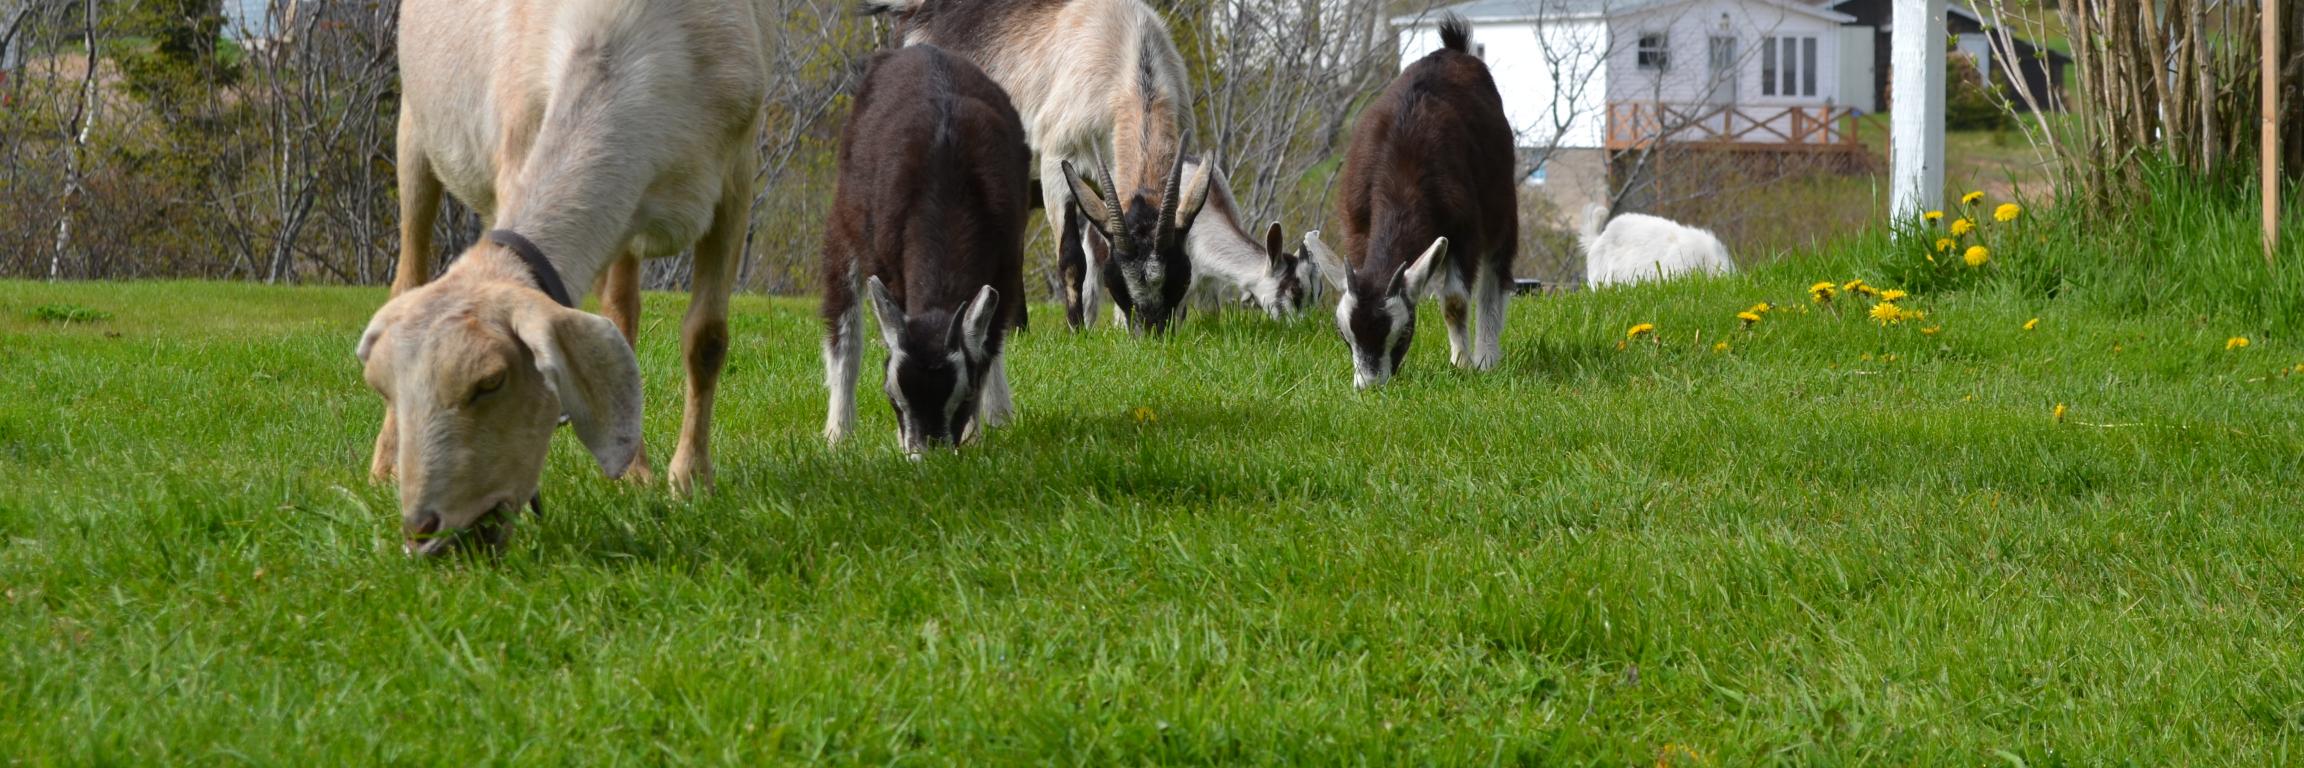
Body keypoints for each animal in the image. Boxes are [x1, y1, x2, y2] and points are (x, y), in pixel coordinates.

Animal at [357, 0, 768, 555]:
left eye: (490, 382)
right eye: (383, 386)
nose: (424, 532)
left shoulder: (735, 172)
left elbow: (706, 339)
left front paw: (691, 481)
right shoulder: (516, 141)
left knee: (622, 311)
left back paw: (637, 471)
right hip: (414, 131)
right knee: (408, 275)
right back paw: (383, 464)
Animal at [821, 46, 1030, 454]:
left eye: (965, 395)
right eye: (892, 396)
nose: (926, 454)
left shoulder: (1008, 263)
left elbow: (990, 341)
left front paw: (976, 431)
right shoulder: (887, 268)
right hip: (843, 221)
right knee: (843, 327)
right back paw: (838, 432)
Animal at [862, 0, 1221, 333]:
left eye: (1182, 278)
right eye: (1116, 282)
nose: (1152, 331)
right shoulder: (1056, 165)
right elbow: (1072, 258)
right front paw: (1077, 330)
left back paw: (1017, 327)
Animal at [1304, 17, 1516, 390]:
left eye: (1403, 333)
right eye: (1344, 336)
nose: (1370, 386)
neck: (1400, 178)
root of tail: (1454, 50)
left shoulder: (1465, 231)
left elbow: (1455, 302)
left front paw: (1462, 363)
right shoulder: (1357, 227)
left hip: (1502, 205)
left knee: (1496, 271)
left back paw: (1487, 357)